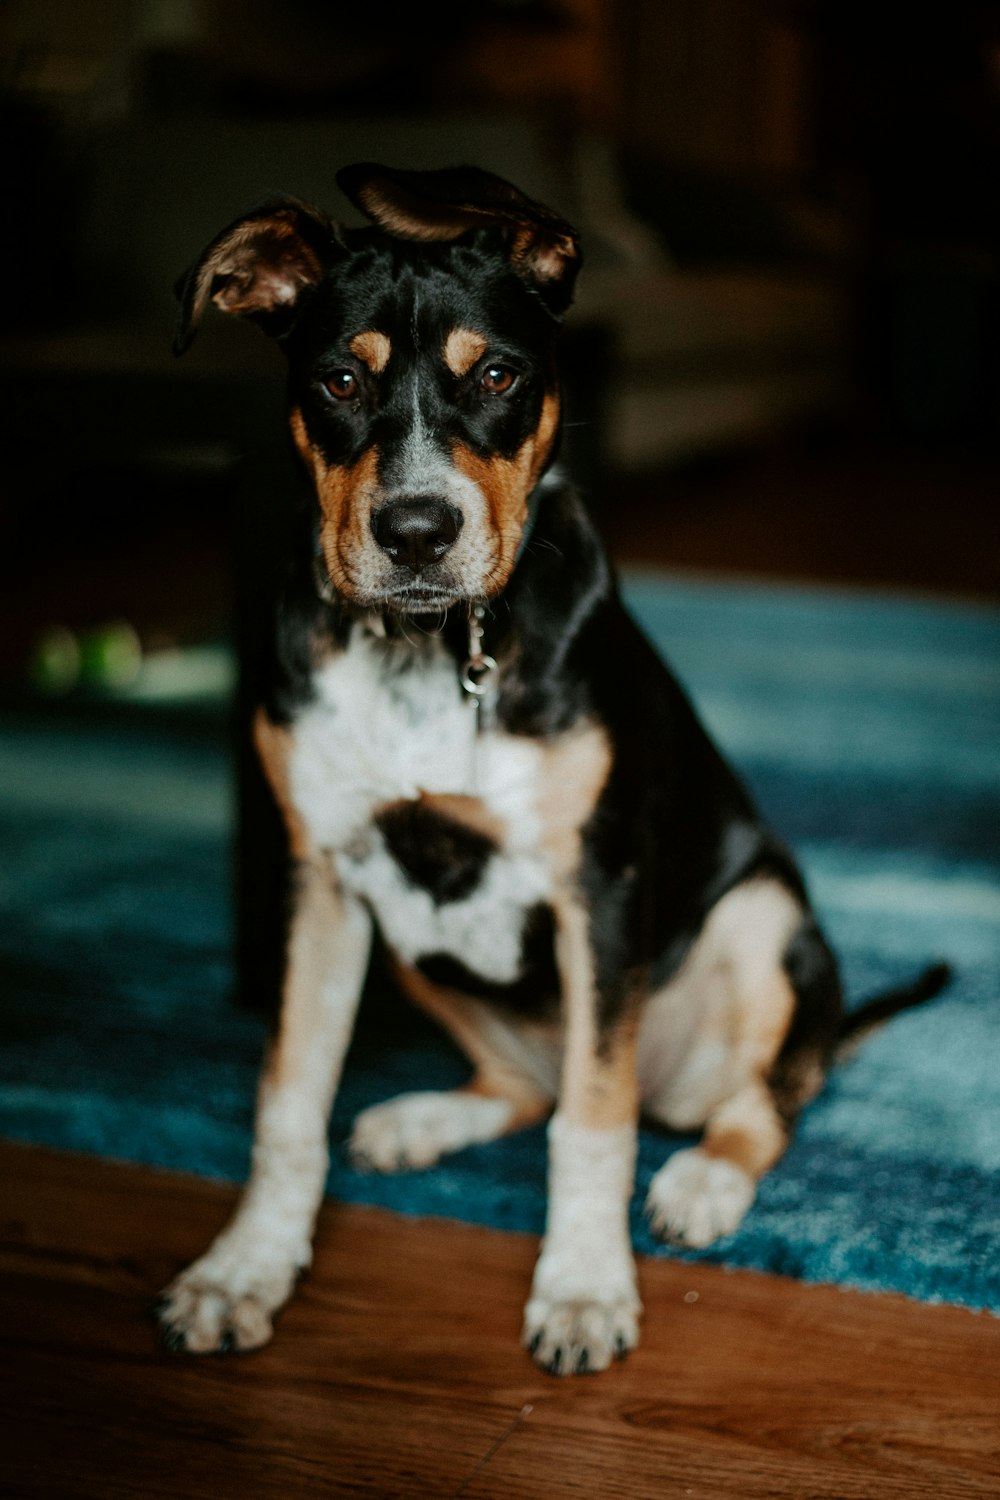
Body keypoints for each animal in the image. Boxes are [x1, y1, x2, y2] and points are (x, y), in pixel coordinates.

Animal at [156, 161, 947, 1374]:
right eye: (340, 379)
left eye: (497, 374)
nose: (417, 532)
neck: (431, 650)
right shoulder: (320, 880)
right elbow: (287, 1099)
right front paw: (244, 1269)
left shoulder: (597, 888)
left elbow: (595, 1117)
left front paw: (580, 1288)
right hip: (416, 951)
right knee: (524, 1088)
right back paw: (425, 1117)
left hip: (760, 919)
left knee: (753, 1101)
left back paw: (704, 1178)